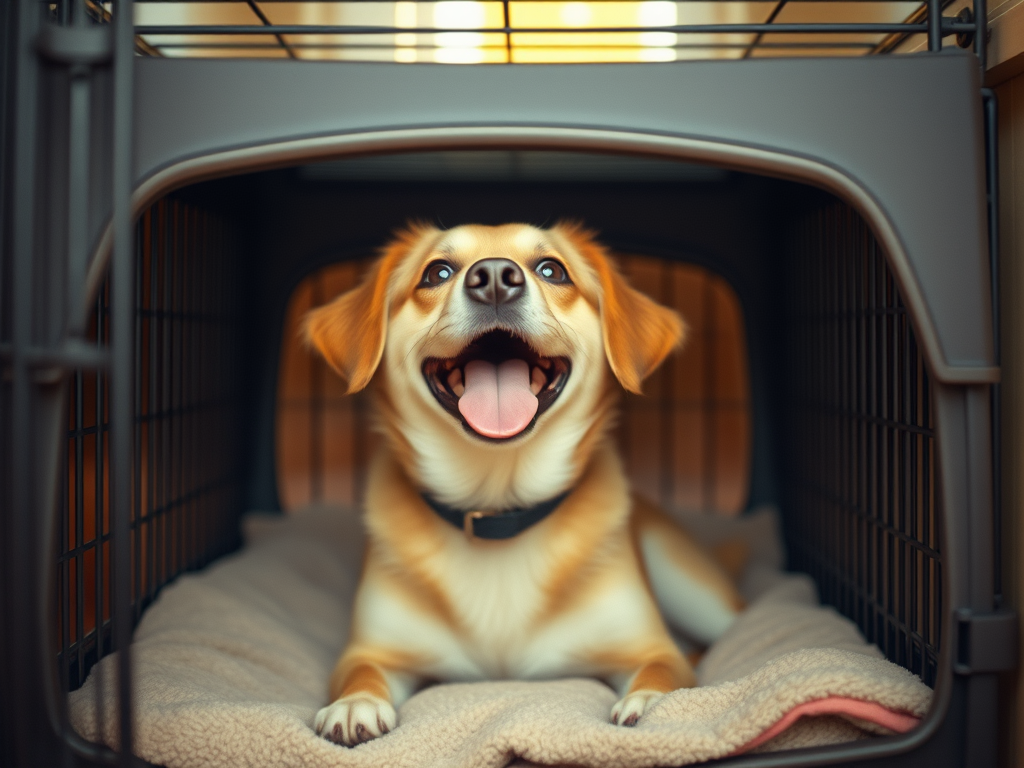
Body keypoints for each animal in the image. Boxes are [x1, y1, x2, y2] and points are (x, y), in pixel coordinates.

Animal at [303, 221, 745, 745]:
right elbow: (359, 673)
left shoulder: (649, 647)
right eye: (437, 272)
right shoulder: (372, 649)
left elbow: (665, 672)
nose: (495, 276)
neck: (499, 508)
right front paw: (355, 704)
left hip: (693, 590)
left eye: (552, 270)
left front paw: (651, 703)